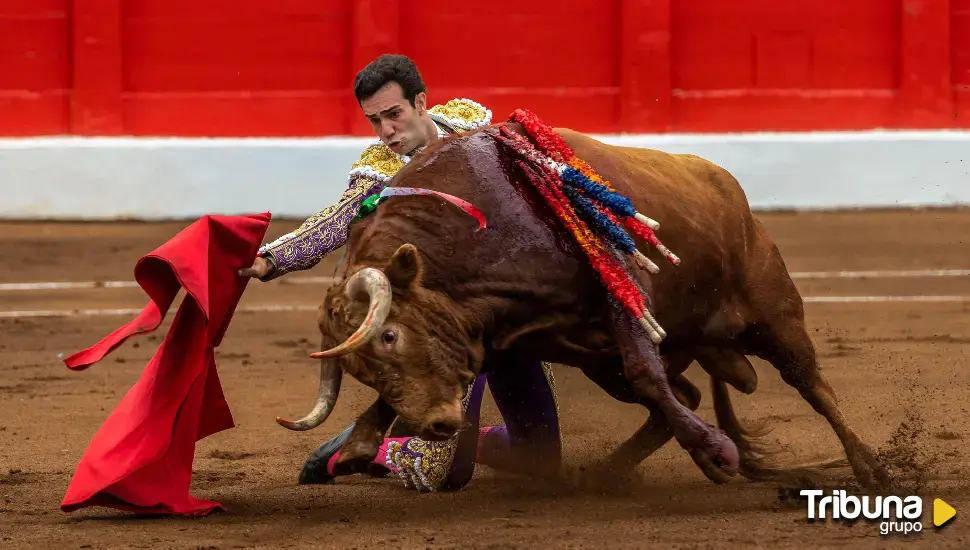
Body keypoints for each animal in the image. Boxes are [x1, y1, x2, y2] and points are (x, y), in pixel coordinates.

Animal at [276, 121, 888, 492]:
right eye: (360, 368)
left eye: (390, 335)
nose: (438, 425)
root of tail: (727, 187)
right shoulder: (496, 339)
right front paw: (355, 446)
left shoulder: (621, 290)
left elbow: (645, 370)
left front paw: (718, 451)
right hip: (605, 362)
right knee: (683, 395)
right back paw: (607, 474)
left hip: (774, 313)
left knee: (813, 386)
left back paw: (871, 469)